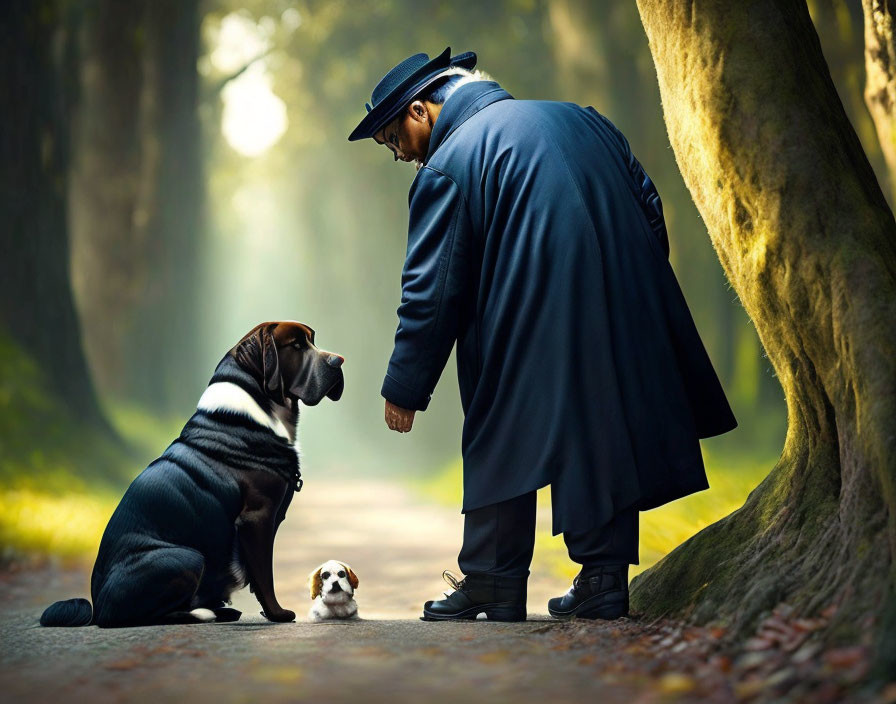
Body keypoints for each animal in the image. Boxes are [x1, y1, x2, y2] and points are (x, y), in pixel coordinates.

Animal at [37, 320, 344, 628]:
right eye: (296, 346)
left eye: (312, 340)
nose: (338, 361)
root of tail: (96, 608)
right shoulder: (256, 518)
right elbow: (263, 575)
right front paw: (278, 614)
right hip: (188, 557)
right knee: (143, 615)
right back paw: (204, 613)